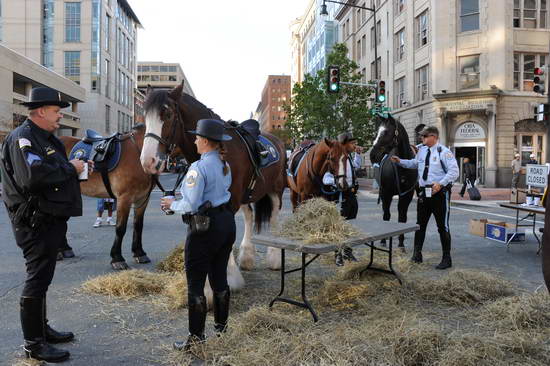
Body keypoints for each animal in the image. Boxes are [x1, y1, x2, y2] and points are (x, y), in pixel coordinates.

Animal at [59, 124, 153, 270]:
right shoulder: (124, 198)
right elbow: (120, 228)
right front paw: (117, 258)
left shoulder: (143, 199)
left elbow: (138, 225)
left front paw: (139, 253)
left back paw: (65, 249)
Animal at [370, 114, 418, 249]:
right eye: (377, 132)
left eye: (386, 132)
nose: (372, 155)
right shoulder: (386, 193)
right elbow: (386, 215)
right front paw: (383, 240)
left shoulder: (407, 194)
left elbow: (402, 217)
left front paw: (401, 243)